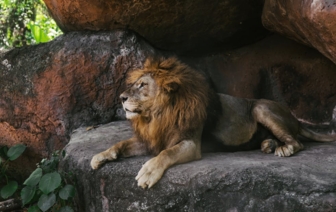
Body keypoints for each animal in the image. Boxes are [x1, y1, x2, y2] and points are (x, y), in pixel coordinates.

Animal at [90, 56, 336, 189]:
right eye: (135, 84)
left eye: (142, 85)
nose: (121, 97)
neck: (157, 115)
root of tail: (295, 117)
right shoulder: (151, 140)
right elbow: (121, 144)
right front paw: (100, 156)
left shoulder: (189, 143)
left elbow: (166, 154)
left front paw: (148, 173)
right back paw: (268, 144)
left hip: (260, 107)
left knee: (297, 142)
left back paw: (282, 149)